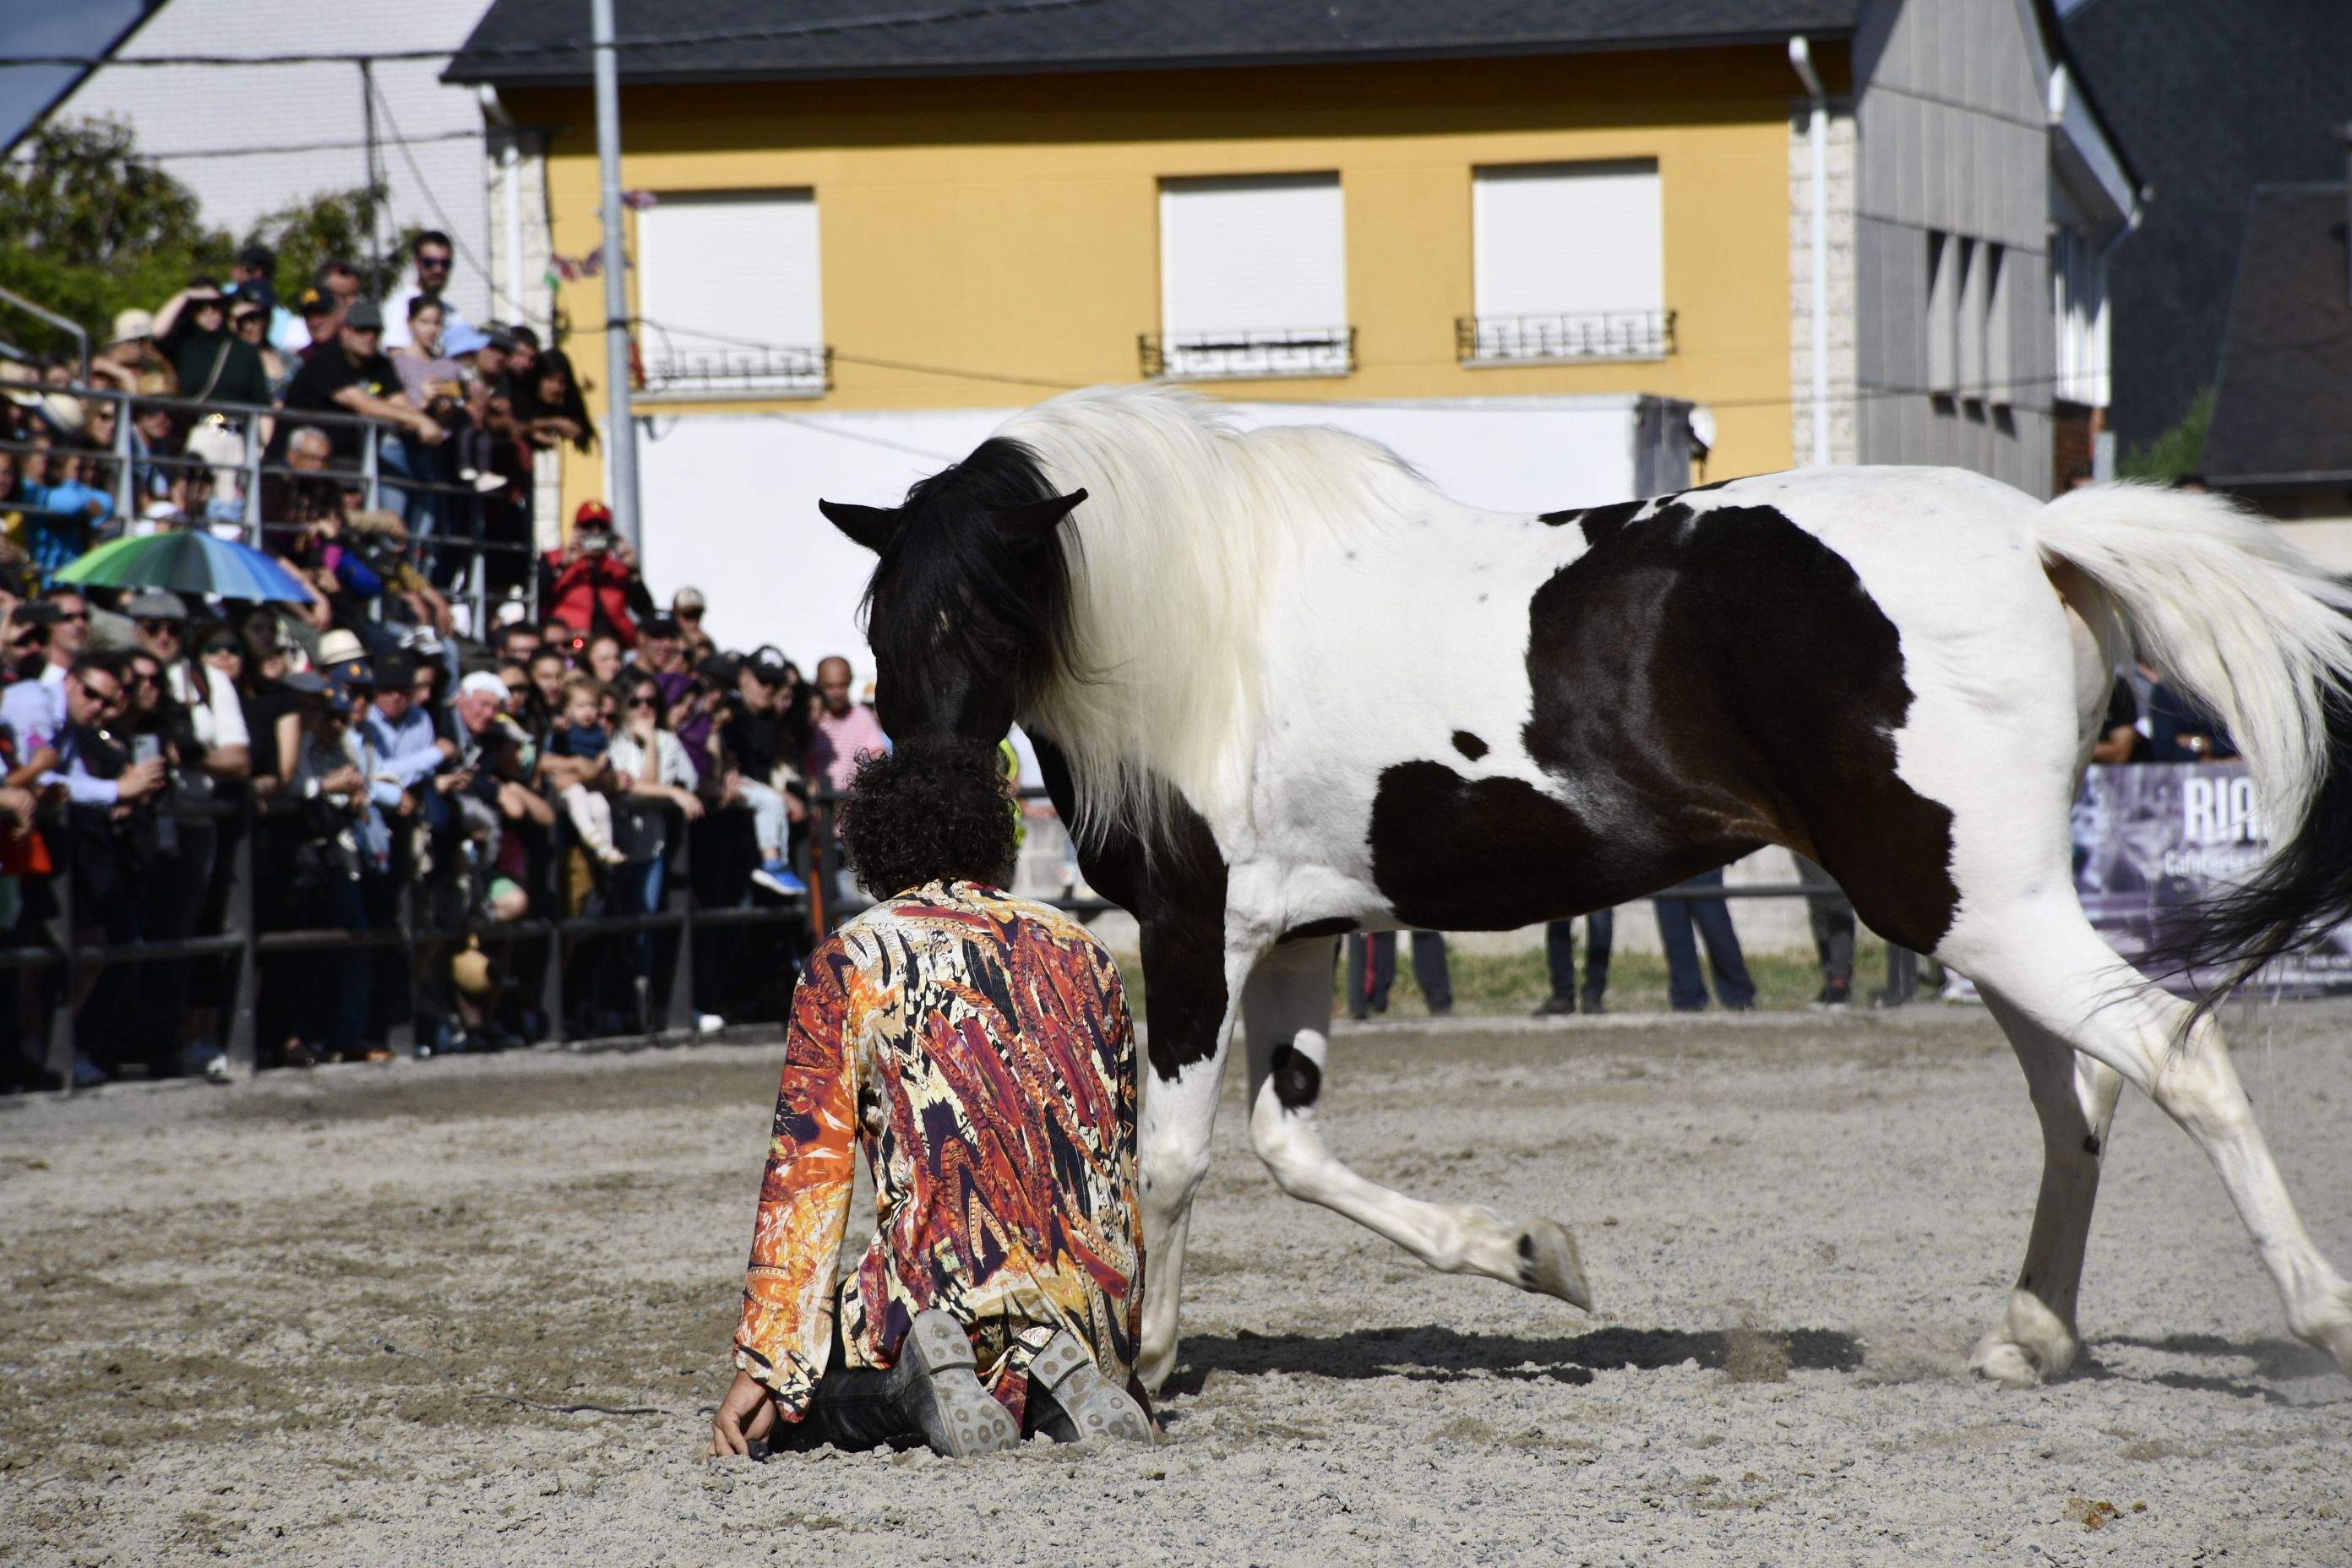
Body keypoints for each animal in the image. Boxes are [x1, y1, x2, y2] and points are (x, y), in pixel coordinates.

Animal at [823, 385, 2352, 1391]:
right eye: (883, 622)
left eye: (992, 611)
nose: (920, 816)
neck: (1206, 623)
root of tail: (2041, 536)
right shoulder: (1307, 932)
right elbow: (1292, 1148)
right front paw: (1529, 1254)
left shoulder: (1199, 928)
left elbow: (1178, 1156)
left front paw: (1141, 1359)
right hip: (1978, 910)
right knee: (2079, 1098)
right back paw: (2030, 1336)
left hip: (1972, 904)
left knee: (2169, 1055)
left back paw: (2313, 1316)